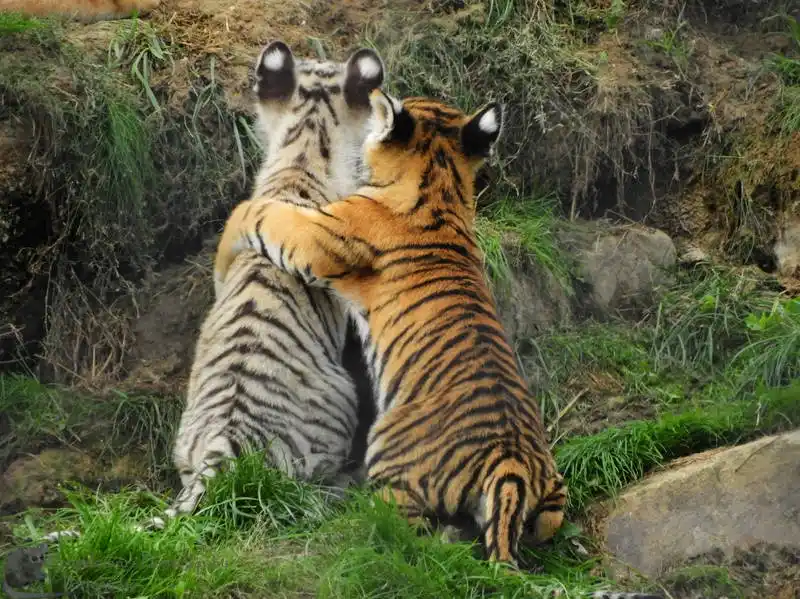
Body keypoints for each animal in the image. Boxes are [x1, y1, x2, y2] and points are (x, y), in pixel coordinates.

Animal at [210, 89, 566, 568]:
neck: (442, 185)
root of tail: (511, 461)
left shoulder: (318, 236)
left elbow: (261, 212)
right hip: (553, 496)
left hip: (389, 452)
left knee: (403, 532)